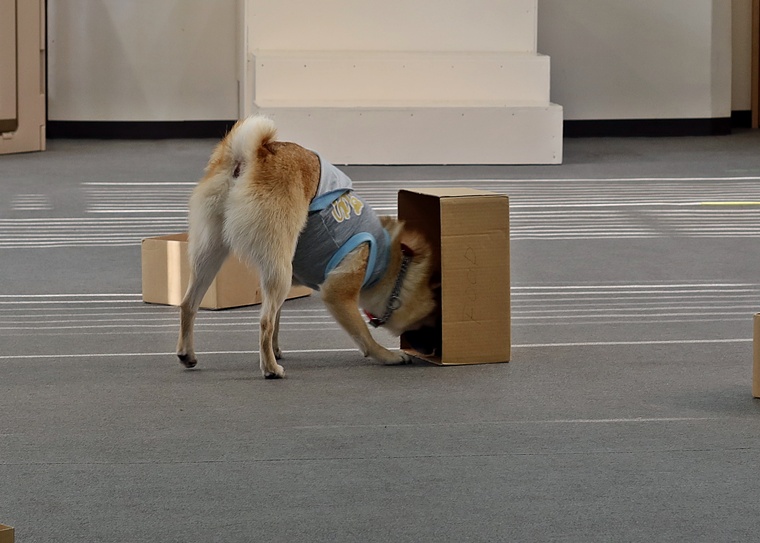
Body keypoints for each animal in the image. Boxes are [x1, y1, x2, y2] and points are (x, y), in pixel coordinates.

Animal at [176, 115, 439, 378]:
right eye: (430, 321)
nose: (433, 351)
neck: (386, 264)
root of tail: (250, 156)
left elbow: (278, 320)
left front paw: (276, 348)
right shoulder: (338, 293)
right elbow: (363, 336)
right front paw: (387, 355)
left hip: (210, 255)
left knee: (189, 304)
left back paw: (188, 354)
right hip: (279, 270)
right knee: (264, 321)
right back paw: (271, 368)